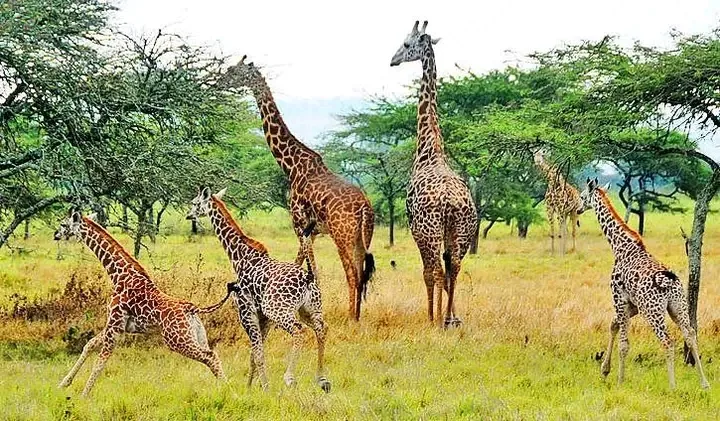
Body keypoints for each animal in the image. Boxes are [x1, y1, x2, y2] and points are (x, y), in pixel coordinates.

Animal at [53, 210, 232, 396]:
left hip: (177, 340)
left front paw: (83, 396)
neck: (118, 275)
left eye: (64, 224)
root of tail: (192, 308)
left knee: (210, 357)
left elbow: (100, 362)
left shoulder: (115, 324)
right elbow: (89, 345)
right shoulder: (116, 325)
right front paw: (63, 384)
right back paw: (227, 391)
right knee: (213, 356)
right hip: (197, 335)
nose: (56, 234)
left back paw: (229, 392)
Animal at [186, 187, 330, 392]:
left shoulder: (247, 312)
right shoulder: (263, 317)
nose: (188, 215)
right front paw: (250, 388)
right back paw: (322, 379)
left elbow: (258, 354)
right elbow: (255, 354)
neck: (240, 258)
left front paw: (265, 388)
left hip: (278, 310)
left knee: (299, 331)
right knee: (322, 329)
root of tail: (308, 278)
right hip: (310, 309)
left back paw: (290, 377)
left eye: (194, 203)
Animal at [217, 58, 375, 321]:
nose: (219, 82)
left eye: (234, 71)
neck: (291, 166)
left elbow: (304, 265)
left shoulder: (298, 223)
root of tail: (365, 207)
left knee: (352, 274)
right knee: (362, 273)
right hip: (362, 238)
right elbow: (307, 265)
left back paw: (350, 317)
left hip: (342, 235)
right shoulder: (312, 230)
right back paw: (358, 316)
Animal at [390, 21, 478, 328]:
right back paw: (450, 318)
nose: (392, 60)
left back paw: (437, 319)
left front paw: (431, 315)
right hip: (462, 231)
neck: (430, 150)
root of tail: (451, 203)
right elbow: (447, 272)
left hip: (430, 232)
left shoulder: (415, 228)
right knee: (455, 268)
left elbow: (428, 272)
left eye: (406, 43)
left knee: (439, 270)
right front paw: (450, 316)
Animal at [578, 178, 710, 389]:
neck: (620, 247)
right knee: (690, 335)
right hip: (677, 307)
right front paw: (605, 370)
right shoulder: (634, 304)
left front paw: (620, 381)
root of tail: (671, 283)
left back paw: (672, 386)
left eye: (583, 196)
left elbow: (624, 343)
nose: (578, 209)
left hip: (653, 311)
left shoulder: (619, 297)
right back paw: (704, 383)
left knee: (668, 341)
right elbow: (613, 324)